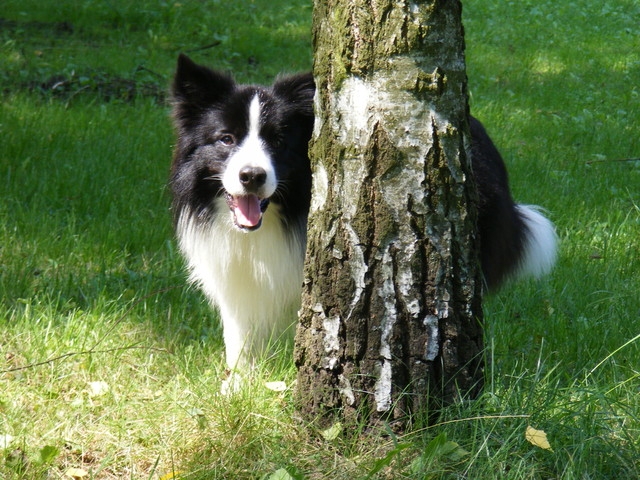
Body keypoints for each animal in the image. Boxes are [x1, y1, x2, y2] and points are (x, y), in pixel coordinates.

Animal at [169, 54, 557, 370]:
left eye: (278, 141)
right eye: (226, 139)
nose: (251, 176)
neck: (273, 222)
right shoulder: (237, 279)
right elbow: (241, 340)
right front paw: (237, 388)